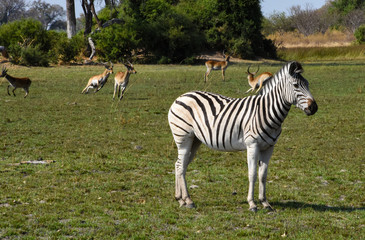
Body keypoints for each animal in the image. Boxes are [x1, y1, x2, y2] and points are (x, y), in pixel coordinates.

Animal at [168, 61, 316, 211]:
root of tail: (181, 96)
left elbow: (263, 175)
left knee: (179, 165)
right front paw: (252, 203)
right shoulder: (252, 145)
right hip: (183, 138)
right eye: (296, 85)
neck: (265, 111)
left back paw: (180, 199)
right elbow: (253, 174)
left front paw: (265, 202)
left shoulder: (269, 147)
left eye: (308, 84)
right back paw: (188, 200)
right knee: (181, 166)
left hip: (195, 140)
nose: (314, 108)